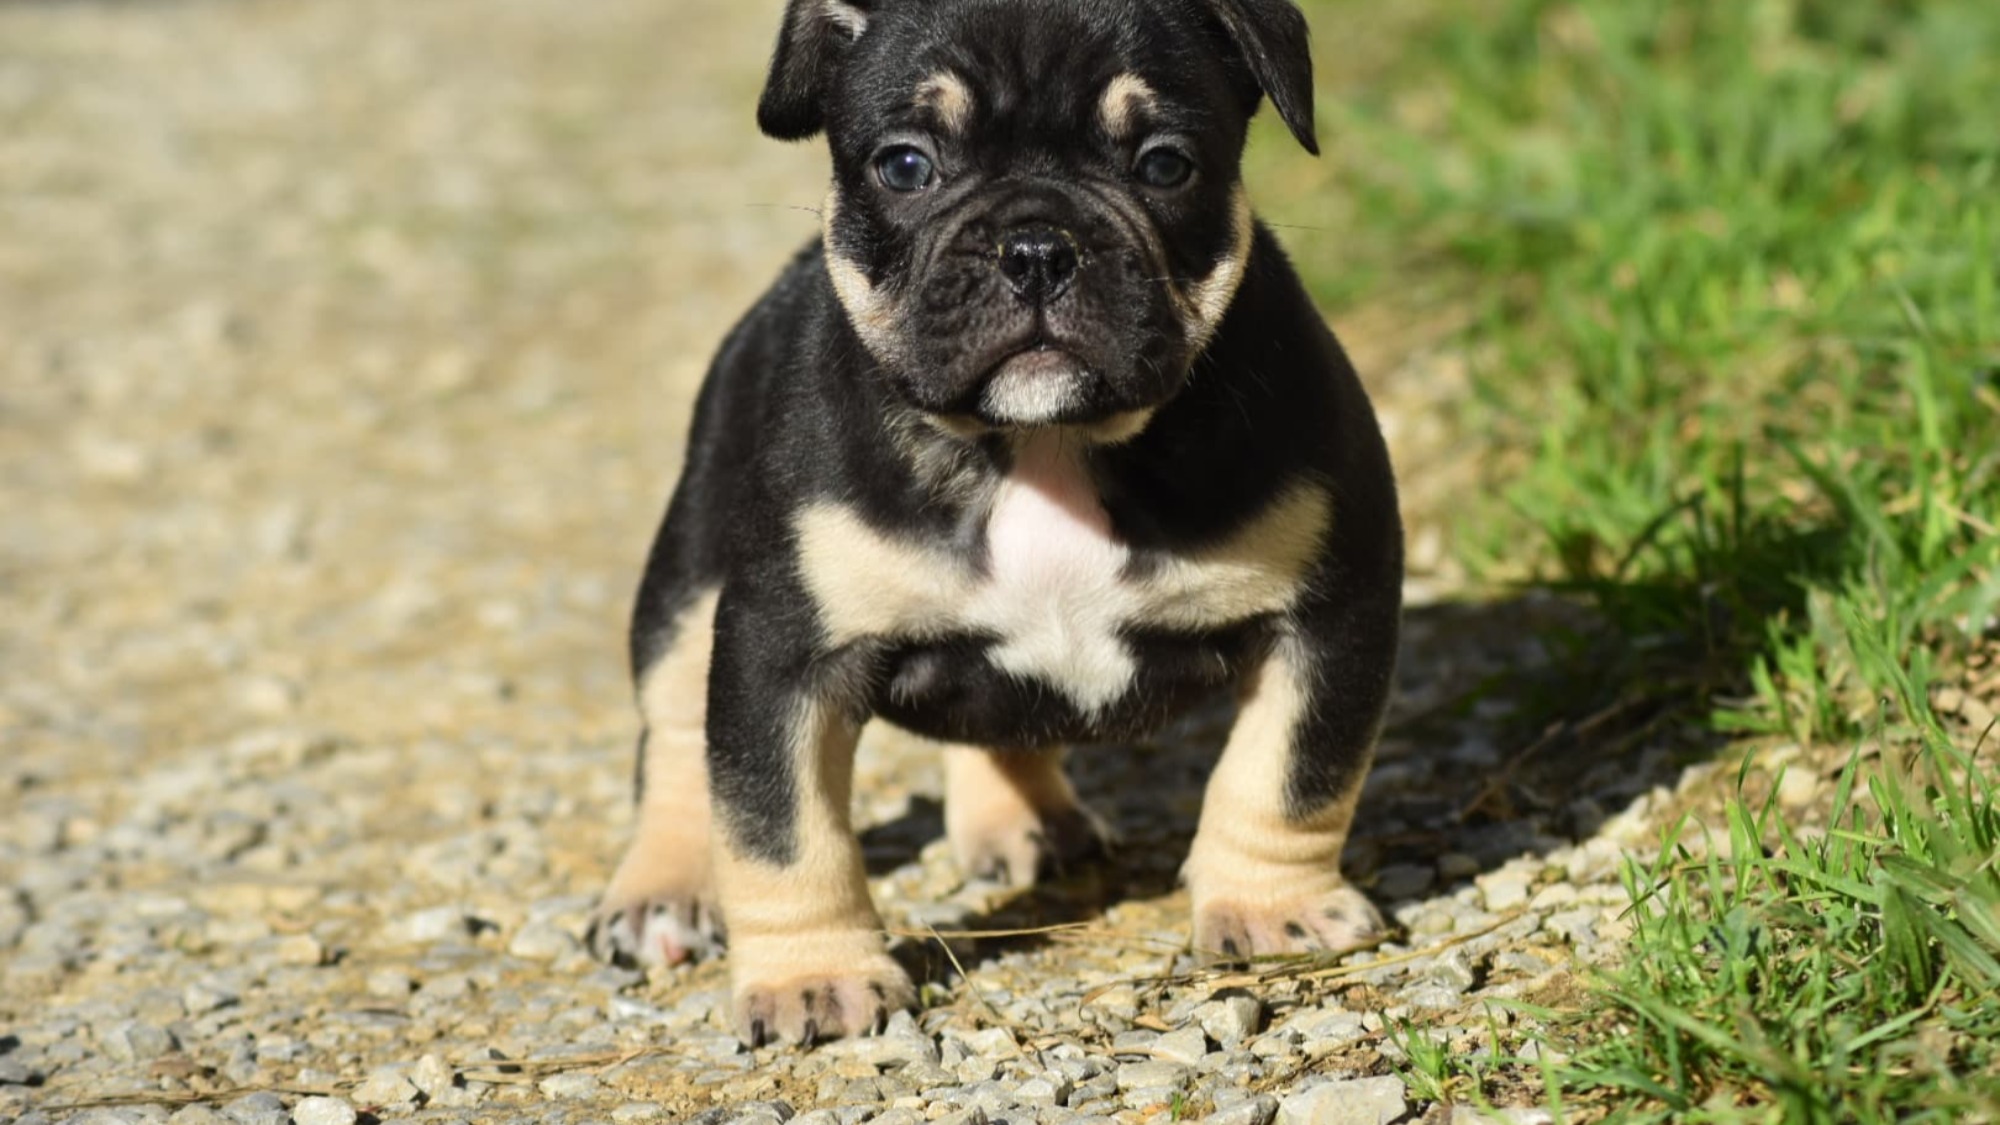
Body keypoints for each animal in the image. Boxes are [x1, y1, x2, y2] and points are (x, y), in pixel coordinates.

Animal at [588, 0, 1408, 1040]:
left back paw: (1020, 821)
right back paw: (659, 890)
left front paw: (1273, 908)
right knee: (673, 738)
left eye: (1165, 164)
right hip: (687, 575)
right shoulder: (781, 650)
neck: (1042, 442)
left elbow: (1290, 772)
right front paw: (813, 977)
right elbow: (778, 823)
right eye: (905, 166)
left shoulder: (1329, 608)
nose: (1036, 246)